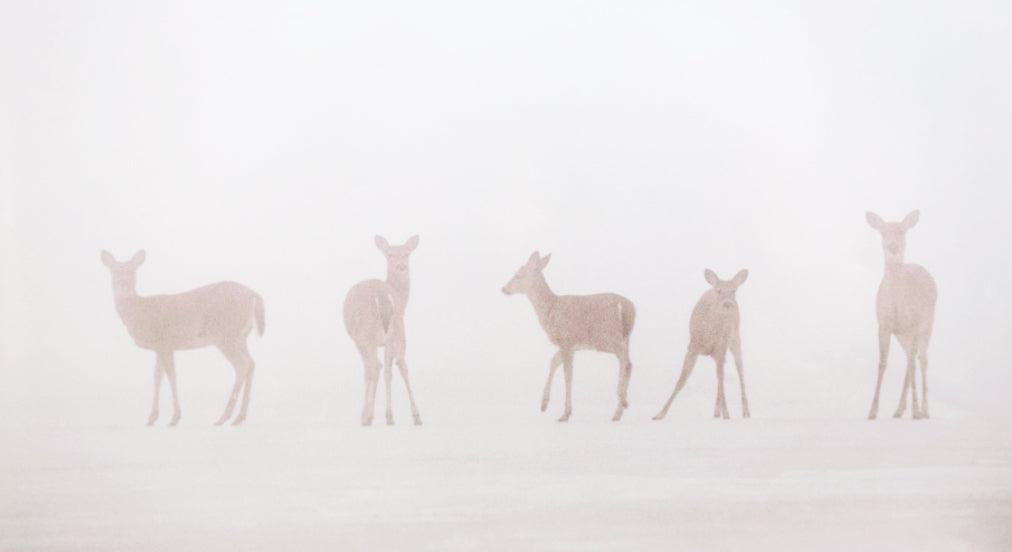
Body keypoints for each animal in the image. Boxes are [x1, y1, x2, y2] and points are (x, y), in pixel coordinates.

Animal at [99, 249, 261, 425]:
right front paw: (152, 418)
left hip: (227, 334)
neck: (140, 312)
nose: (123, 284)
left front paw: (174, 417)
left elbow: (171, 375)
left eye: (132, 271)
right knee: (251, 364)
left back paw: (224, 417)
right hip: (241, 336)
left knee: (242, 365)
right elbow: (157, 377)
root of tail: (255, 295)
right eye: (114, 271)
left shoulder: (165, 342)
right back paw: (240, 417)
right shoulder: (159, 347)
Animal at [340, 232, 418, 425]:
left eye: (407, 253)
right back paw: (416, 416)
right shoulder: (386, 341)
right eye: (390, 255)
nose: (401, 266)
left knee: (375, 366)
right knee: (402, 365)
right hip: (399, 329)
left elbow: (367, 372)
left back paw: (367, 417)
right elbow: (388, 373)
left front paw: (367, 413)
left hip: (366, 332)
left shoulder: (368, 342)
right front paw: (389, 415)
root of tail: (382, 295)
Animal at [501, 251, 635, 421]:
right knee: (628, 363)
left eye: (518, 275)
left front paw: (565, 413)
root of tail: (626, 306)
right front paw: (544, 404)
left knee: (625, 361)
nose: (504, 289)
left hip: (606, 336)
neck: (549, 309)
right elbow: (553, 362)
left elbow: (567, 375)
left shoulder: (566, 340)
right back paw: (618, 412)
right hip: (625, 338)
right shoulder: (570, 346)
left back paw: (622, 401)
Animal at [651, 269, 748, 419]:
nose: (727, 303)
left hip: (734, 339)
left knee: (739, 371)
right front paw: (659, 415)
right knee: (722, 378)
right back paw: (717, 412)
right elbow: (681, 381)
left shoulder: (721, 346)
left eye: (734, 290)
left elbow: (721, 382)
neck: (708, 333)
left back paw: (745, 412)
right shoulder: (692, 347)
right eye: (718, 290)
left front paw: (727, 414)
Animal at [866, 209, 935, 417]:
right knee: (909, 361)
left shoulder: (914, 323)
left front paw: (917, 411)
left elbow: (914, 365)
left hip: (927, 325)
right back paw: (899, 409)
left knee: (922, 362)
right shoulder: (884, 324)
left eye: (902, 231)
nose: (893, 246)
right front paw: (872, 411)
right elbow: (882, 363)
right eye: (882, 232)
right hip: (902, 335)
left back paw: (924, 410)